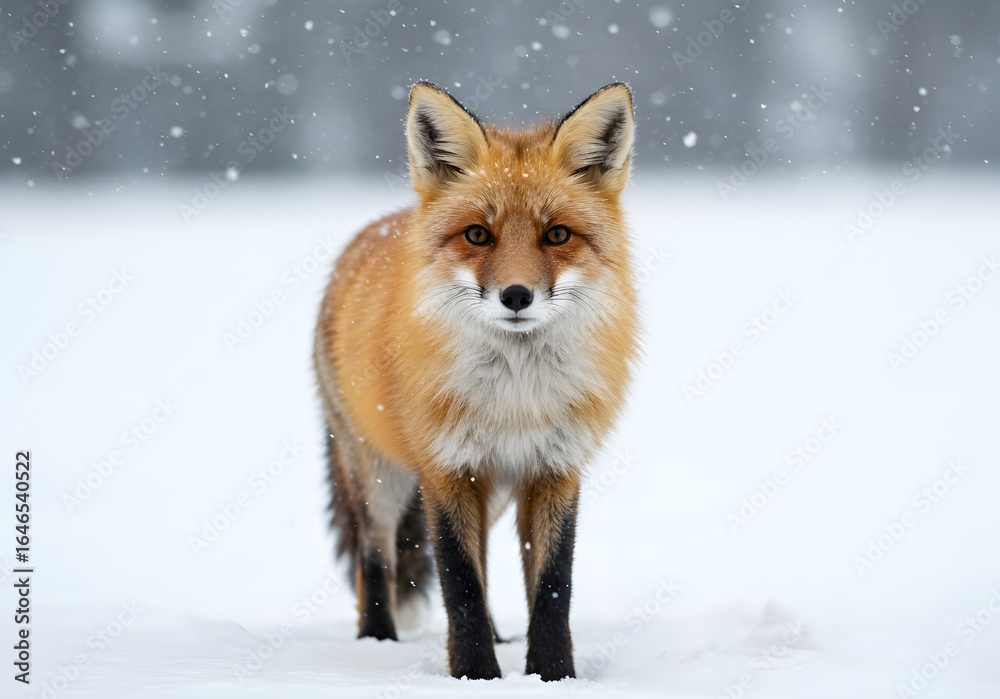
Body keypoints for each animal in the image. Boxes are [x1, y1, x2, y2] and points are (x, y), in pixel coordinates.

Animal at [313, 81, 638, 681]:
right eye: (478, 235)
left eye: (557, 234)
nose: (516, 295)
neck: (515, 398)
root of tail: (376, 226)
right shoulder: (446, 469)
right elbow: (459, 583)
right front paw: (475, 675)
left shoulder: (554, 468)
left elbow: (553, 586)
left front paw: (552, 676)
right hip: (379, 474)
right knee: (376, 556)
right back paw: (376, 641)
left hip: (491, 492)